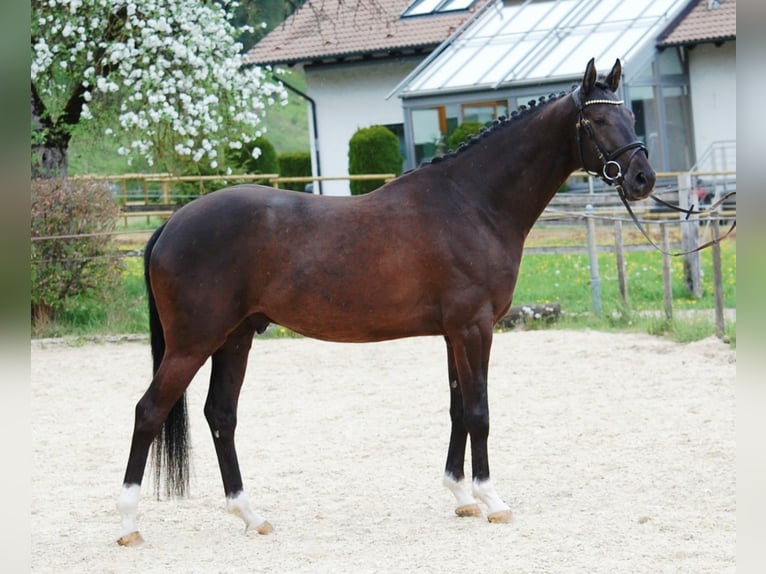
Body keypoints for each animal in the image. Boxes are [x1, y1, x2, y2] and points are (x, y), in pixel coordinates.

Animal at [116, 58, 655, 545]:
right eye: (598, 121)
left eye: (632, 115)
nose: (643, 179)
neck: (472, 203)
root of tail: (171, 224)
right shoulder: (474, 328)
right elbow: (479, 412)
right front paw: (492, 500)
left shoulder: (453, 333)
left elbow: (459, 409)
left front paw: (461, 496)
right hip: (193, 343)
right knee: (148, 412)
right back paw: (128, 525)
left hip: (236, 338)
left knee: (220, 417)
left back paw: (251, 516)